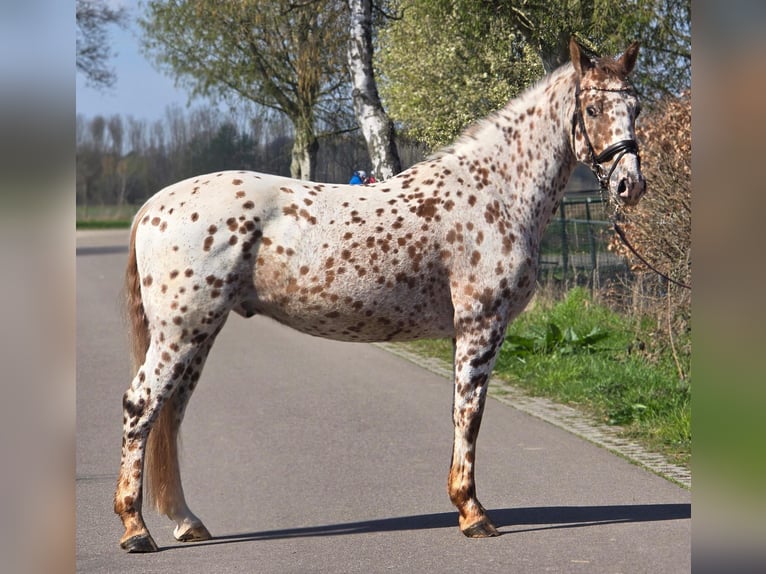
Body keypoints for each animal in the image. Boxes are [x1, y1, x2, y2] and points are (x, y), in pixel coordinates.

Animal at [115, 38, 645, 551]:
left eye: (636, 107)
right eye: (592, 108)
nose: (629, 184)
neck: (493, 192)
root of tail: (154, 206)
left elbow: (463, 413)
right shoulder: (481, 325)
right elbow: (468, 413)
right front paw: (473, 513)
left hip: (199, 334)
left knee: (171, 415)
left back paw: (186, 522)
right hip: (181, 333)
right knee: (142, 406)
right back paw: (136, 530)